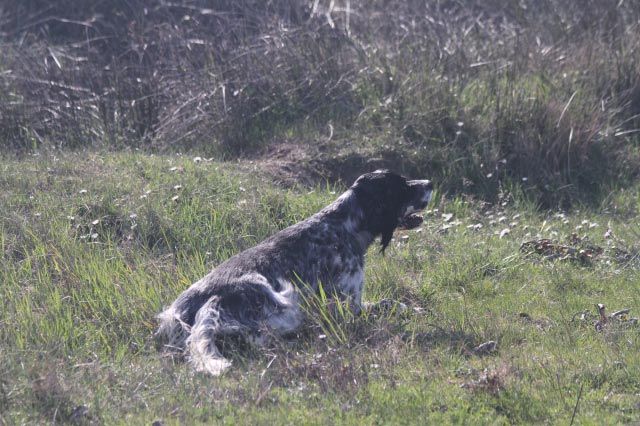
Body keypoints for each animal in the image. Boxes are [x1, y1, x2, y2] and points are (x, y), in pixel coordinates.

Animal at [157, 170, 432, 376]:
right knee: (259, 337)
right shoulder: (348, 307)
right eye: (402, 186)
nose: (430, 183)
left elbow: (392, 303)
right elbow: (384, 306)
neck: (343, 226)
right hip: (285, 304)